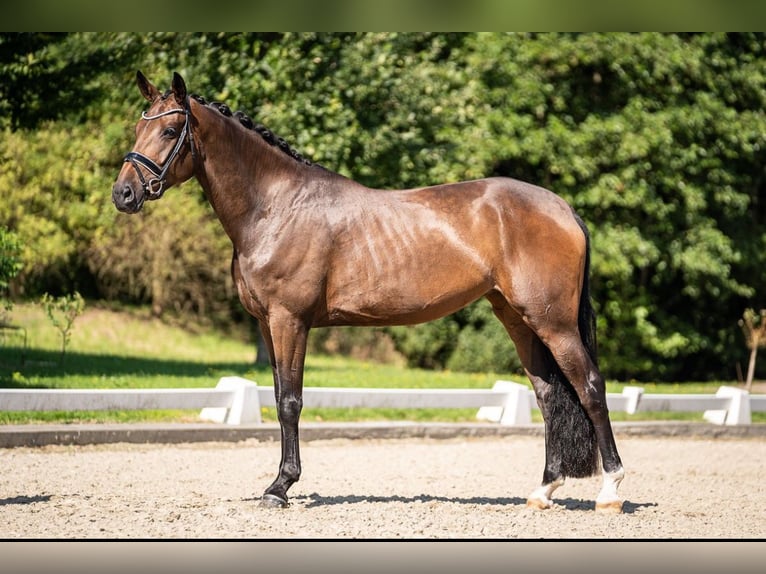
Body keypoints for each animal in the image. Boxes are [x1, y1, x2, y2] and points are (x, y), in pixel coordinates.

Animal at [115, 70, 632, 516]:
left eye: (169, 131)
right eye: (139, 128)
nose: (123, 194)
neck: (276, 206)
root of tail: (563, 208)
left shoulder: (290, 321)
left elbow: (290, 402)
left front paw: (280, 487)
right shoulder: (266, 324)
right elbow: (279, 395)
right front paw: (280, 482)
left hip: (553, 322)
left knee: (590, 387)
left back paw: (610, 490)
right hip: (517, 318)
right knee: (547, 396)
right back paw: (543, 490)